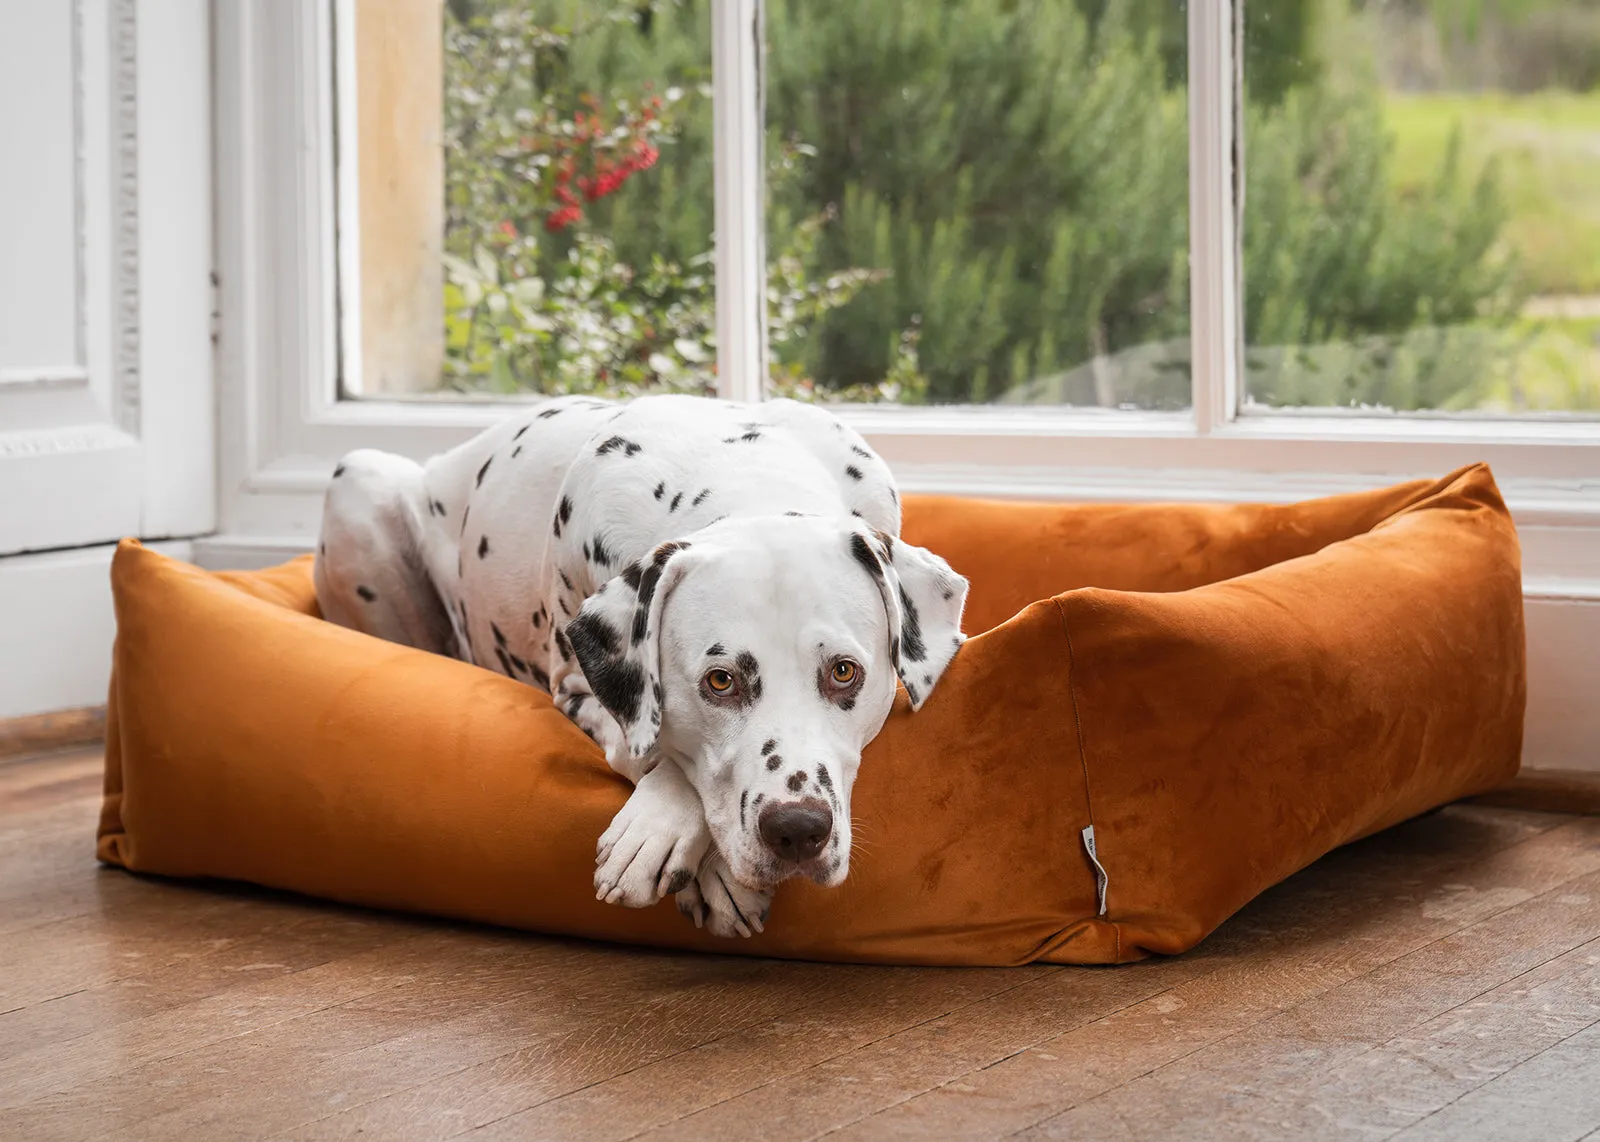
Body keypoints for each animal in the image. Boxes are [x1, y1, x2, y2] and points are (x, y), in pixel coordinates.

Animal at [310, 391, 960, 934]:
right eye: (719, 681)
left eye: (844, 672)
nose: (797, 829)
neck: (746, 474)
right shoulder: (576, 684)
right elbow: (650, 747)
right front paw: (675, 840)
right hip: (360, 479)